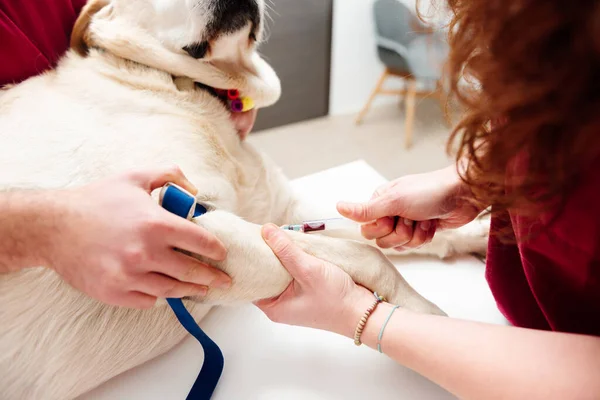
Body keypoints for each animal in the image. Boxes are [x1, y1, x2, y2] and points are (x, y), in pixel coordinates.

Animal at [0, 1, 488, 398]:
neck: (183, 86)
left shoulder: (282, 212)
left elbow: (382, 231)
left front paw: (479, 234)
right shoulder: (184, 228)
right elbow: (369, 256)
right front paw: (432, 322)